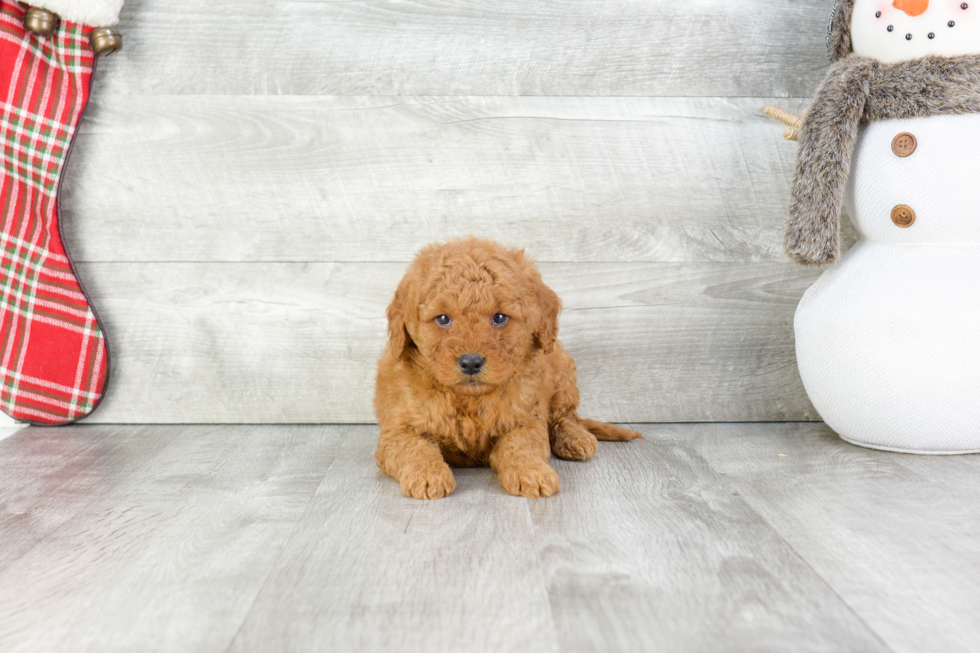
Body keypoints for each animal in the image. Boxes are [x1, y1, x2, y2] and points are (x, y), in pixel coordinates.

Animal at [376, 239, 644, 500]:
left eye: (499, 318)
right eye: (442, 319)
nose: (471, 362)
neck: (470, 399)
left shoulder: (526, 420)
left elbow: (521, 445)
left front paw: (531, 473)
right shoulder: (398, 429)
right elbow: (413, 448)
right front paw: (427, 476)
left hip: (563, 373)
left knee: (566, 416)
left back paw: (575, 438)